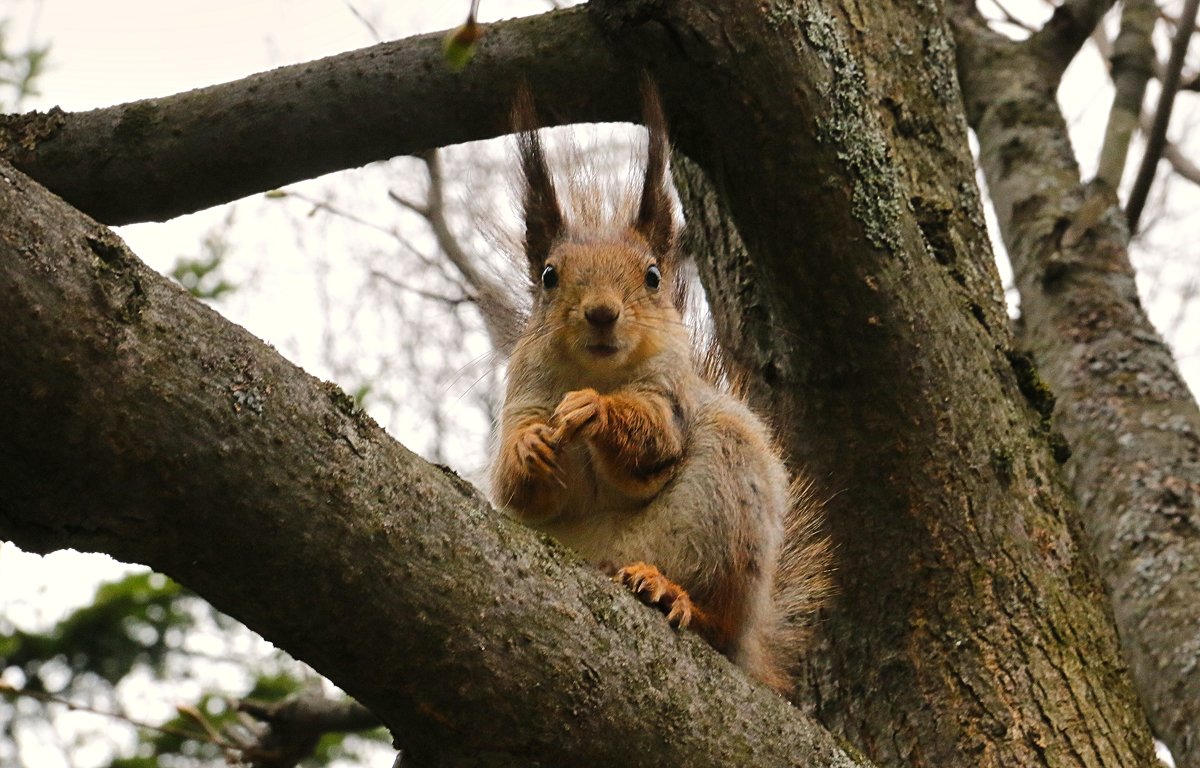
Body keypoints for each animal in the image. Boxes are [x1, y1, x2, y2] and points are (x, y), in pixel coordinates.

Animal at [484, 85, 825, 696]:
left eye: (651, 276)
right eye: (548, 275)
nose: (601, 312)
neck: (599, 371)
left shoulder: (672, 395)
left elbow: (654, 439)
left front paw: (595, 409)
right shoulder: (522, 397)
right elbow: (514, 487)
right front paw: (529, 449)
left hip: (728, 515)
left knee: (717, 622)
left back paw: (672, 593)